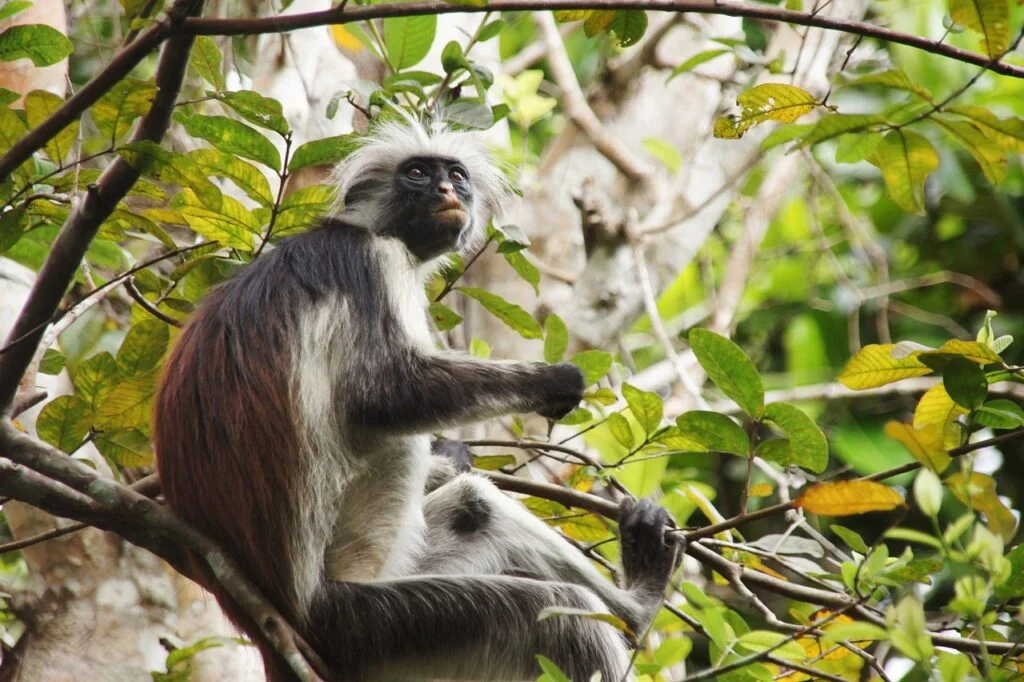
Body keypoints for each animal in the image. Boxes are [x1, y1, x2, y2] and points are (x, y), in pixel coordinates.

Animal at [153, 119, 679, 679]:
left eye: (456, 175)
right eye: (418, 174)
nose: (448, 191)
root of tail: (274, 624)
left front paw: (451, 455)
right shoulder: (371, 262)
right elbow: (383, 395)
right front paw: (552, 382)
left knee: (475, 507)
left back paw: (634, 606)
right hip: (365, 620)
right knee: (560, 609)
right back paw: (636, 606)